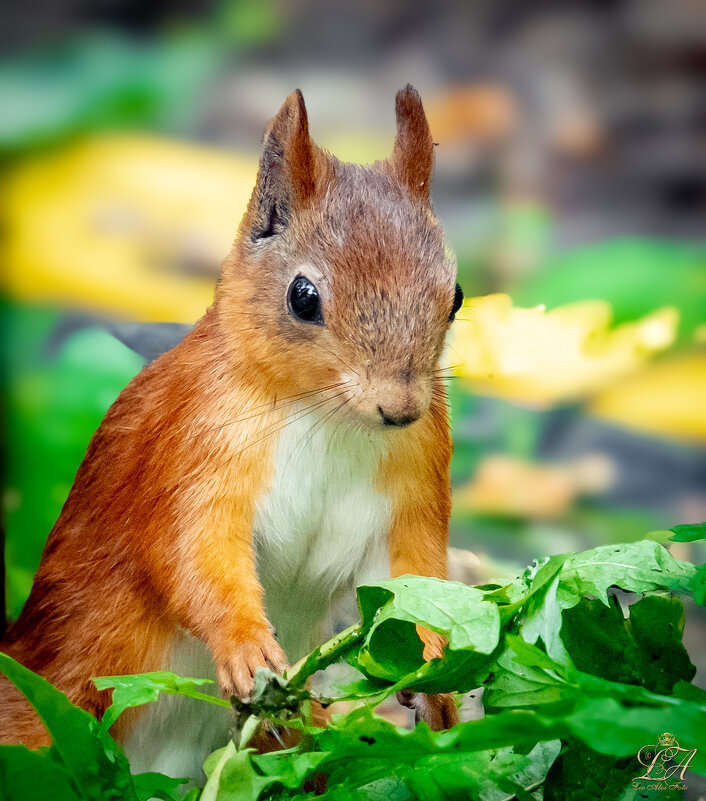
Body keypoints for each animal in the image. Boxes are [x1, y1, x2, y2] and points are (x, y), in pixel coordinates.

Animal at [1, 86, 462, 776]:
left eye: (455, 295)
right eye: (303, 297)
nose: (401, 407)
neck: (327, 417)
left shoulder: (415, 479)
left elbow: (415, 578)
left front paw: (437, 670)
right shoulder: (194, 445)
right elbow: (194, 551)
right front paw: (245, 648)